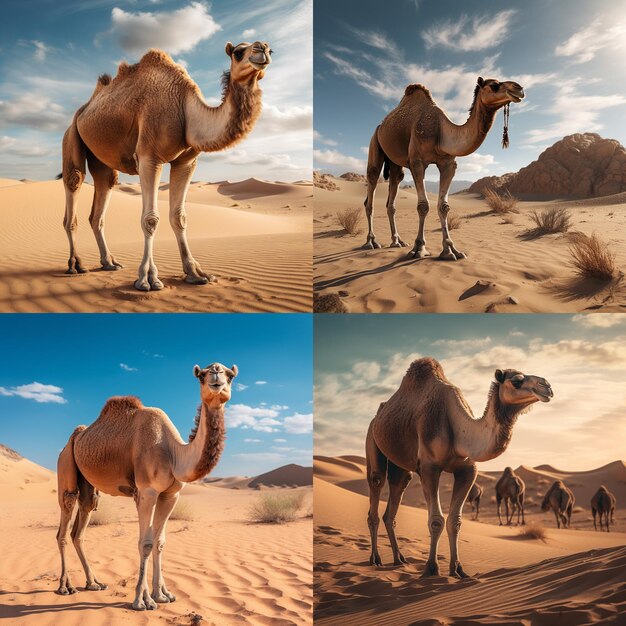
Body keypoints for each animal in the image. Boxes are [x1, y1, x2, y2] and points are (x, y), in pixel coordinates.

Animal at [56, 360, 238, 608]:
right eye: (201, 375)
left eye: (230, 375)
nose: (216, 373)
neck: (173, 453)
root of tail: (74, 438)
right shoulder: (147, 492)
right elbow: (145, 543)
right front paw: (143, 600)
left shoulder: (170, 495)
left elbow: (160, 542)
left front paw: (163, 594)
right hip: (66, 466)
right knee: (64, 526)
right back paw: (65, 587)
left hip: (88, 485)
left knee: (81, 524)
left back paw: (94, 583)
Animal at [59, 41, 270, 290]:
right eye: (238, 52)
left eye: (270, 50)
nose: (262, 49)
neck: (185, 108)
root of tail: (83, 110)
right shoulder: (149, 157)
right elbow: (150, 219)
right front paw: (147, 279)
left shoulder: (186, 162)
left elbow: (179, 217)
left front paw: (196, 273)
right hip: (71, 135)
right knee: (74, 182)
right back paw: (76, 265)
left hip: (101, 158)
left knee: (102, 197)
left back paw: (109, 262)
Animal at [360, 76, 520, 256]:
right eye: (494, 85)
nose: (519, 88)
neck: (440, 131)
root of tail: (380, 126)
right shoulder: (417, 162)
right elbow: (423, 206)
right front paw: (419, 248)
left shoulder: (448, 164)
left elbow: (444, 206)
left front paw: (450, 250)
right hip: (374, 142)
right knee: (371, 187)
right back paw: (371, 242)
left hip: (394, 163)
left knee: (393, 192)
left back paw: (397, 241)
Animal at [366, 356, 552, 576]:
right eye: (517, 381)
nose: (547, 386)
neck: (459, 430)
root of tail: (376, 418)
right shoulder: (429, 467)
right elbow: (436, 520)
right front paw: (431, 568)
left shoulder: (467, 470)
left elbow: (455, 521)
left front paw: (457, 570)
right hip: (372, 439)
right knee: (376, 486)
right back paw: (375, 559)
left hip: (400, 466)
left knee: (394, 501)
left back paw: (398, 559)